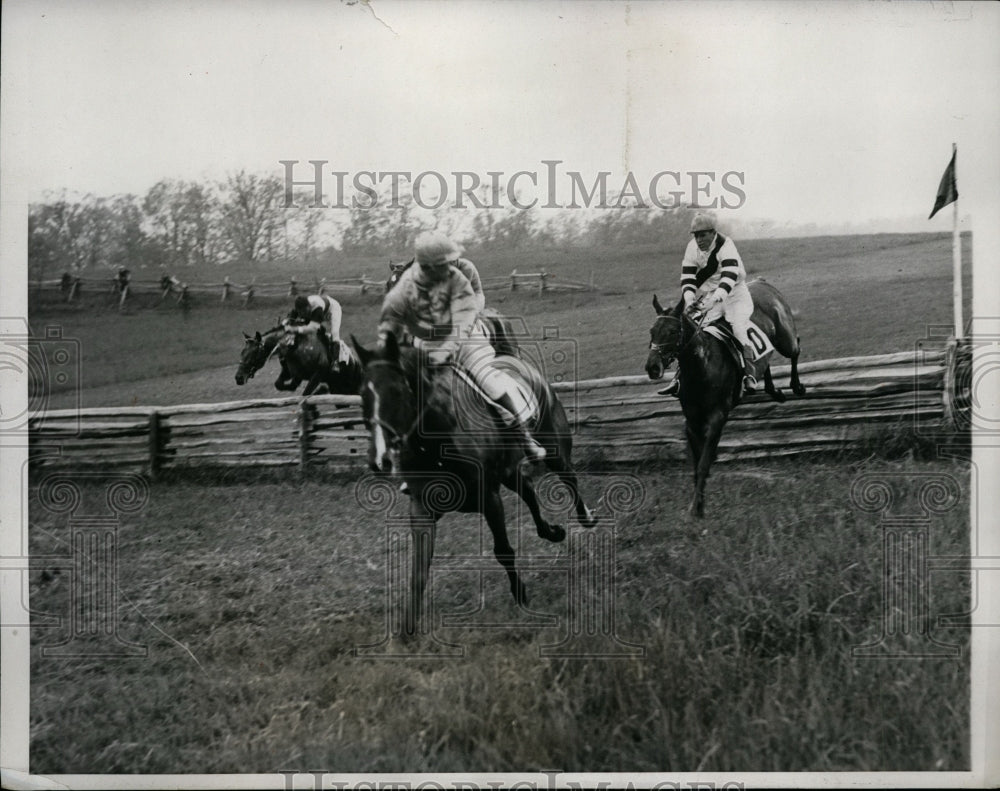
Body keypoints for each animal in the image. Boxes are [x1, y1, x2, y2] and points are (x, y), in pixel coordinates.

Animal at [236, 324, 366, 396]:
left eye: (254, 353)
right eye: (242, 352)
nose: (238, 378)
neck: (294, 346)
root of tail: (357, 362)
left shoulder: (318, 374)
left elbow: (305, 393)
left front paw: (321, 390)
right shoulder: (291, 373)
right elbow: (280, 384)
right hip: (338, 389)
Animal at [356, 332, 596, 636]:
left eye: (397, 392)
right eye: (363, 395)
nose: (379, 460)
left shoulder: (488, 498)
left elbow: (503, 551)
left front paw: (520, 595)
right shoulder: (421, 509)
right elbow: (418, 570)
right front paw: (407, 629)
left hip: (554, 450)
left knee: (568, 478)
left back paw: (585, 518)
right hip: (508, 471)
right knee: (529, 491)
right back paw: (551, 532)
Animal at [644, 280, 808, 520]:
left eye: (673, 331)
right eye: (652, 331)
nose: (652, 367)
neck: (702, 367)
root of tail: (762, 282)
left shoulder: (717, 418)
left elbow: (704, 463)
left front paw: (696, 508)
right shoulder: (692, 421)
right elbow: (697, 465)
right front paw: (698, 505)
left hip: (785, 338)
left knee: (796, 347)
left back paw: (796, 386)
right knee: (764, 361)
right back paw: (772, 390)